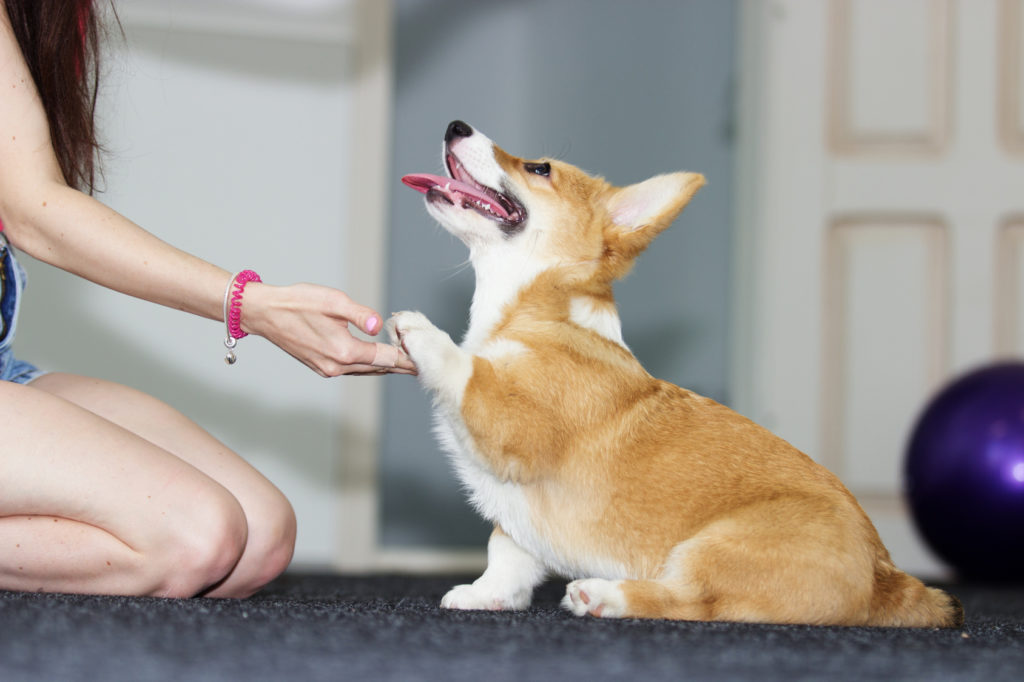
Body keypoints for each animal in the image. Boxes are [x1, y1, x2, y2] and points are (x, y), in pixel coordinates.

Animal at [389, 119, 958, 622]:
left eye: (539, 168)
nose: (455, 125)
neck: (537, 305)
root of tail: (886, 577)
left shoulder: (512, 421)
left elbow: (468, 372)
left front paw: (422, 333)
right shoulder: (518, 513)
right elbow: (506, 551)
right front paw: (488, 595)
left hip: (715, 545)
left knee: (692, 603)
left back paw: (605, 595)